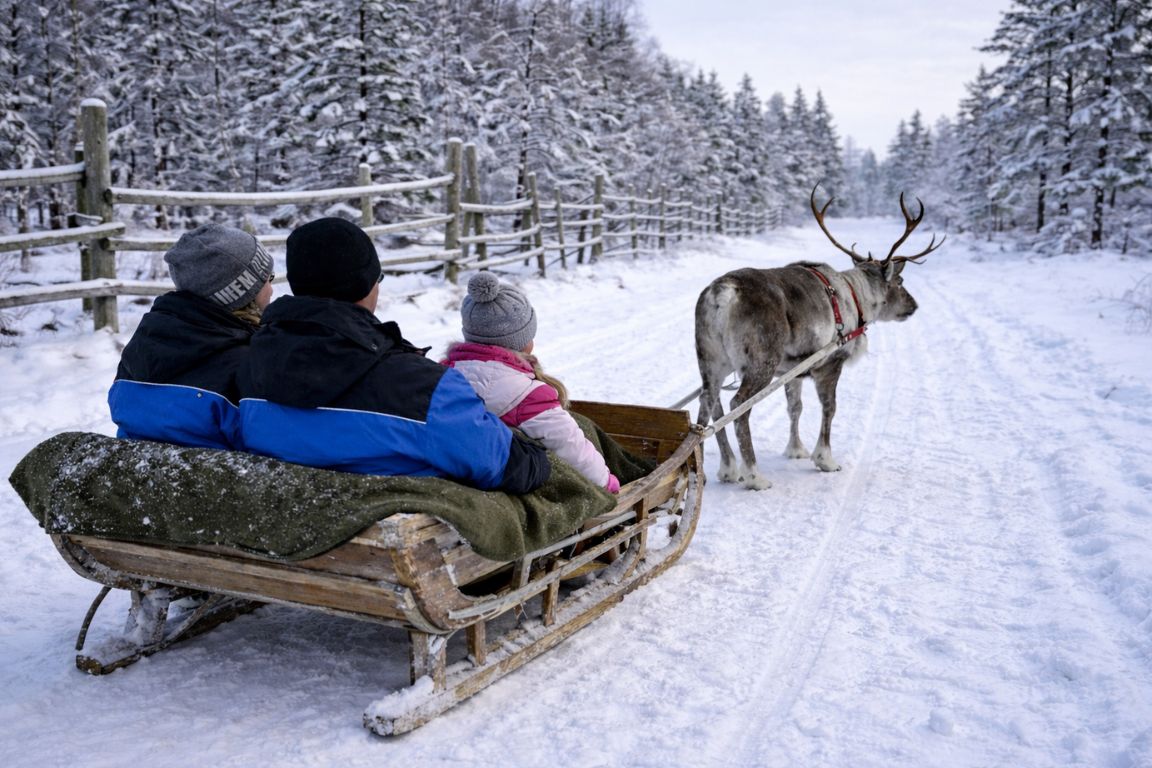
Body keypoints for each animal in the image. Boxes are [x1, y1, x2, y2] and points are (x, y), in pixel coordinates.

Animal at [693, 186, 944, 490]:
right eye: (900, 282)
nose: (914, 306)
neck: (857, 297)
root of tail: (722, 293)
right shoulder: (831, 362)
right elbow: (830, 408)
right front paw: (825, 459)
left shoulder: (792, 371)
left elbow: (795, 408)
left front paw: (795, 450)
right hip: (761, 362)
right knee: (738, 406)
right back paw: (754, 475)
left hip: (711, 359)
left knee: (709, 402)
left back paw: (722, 469)